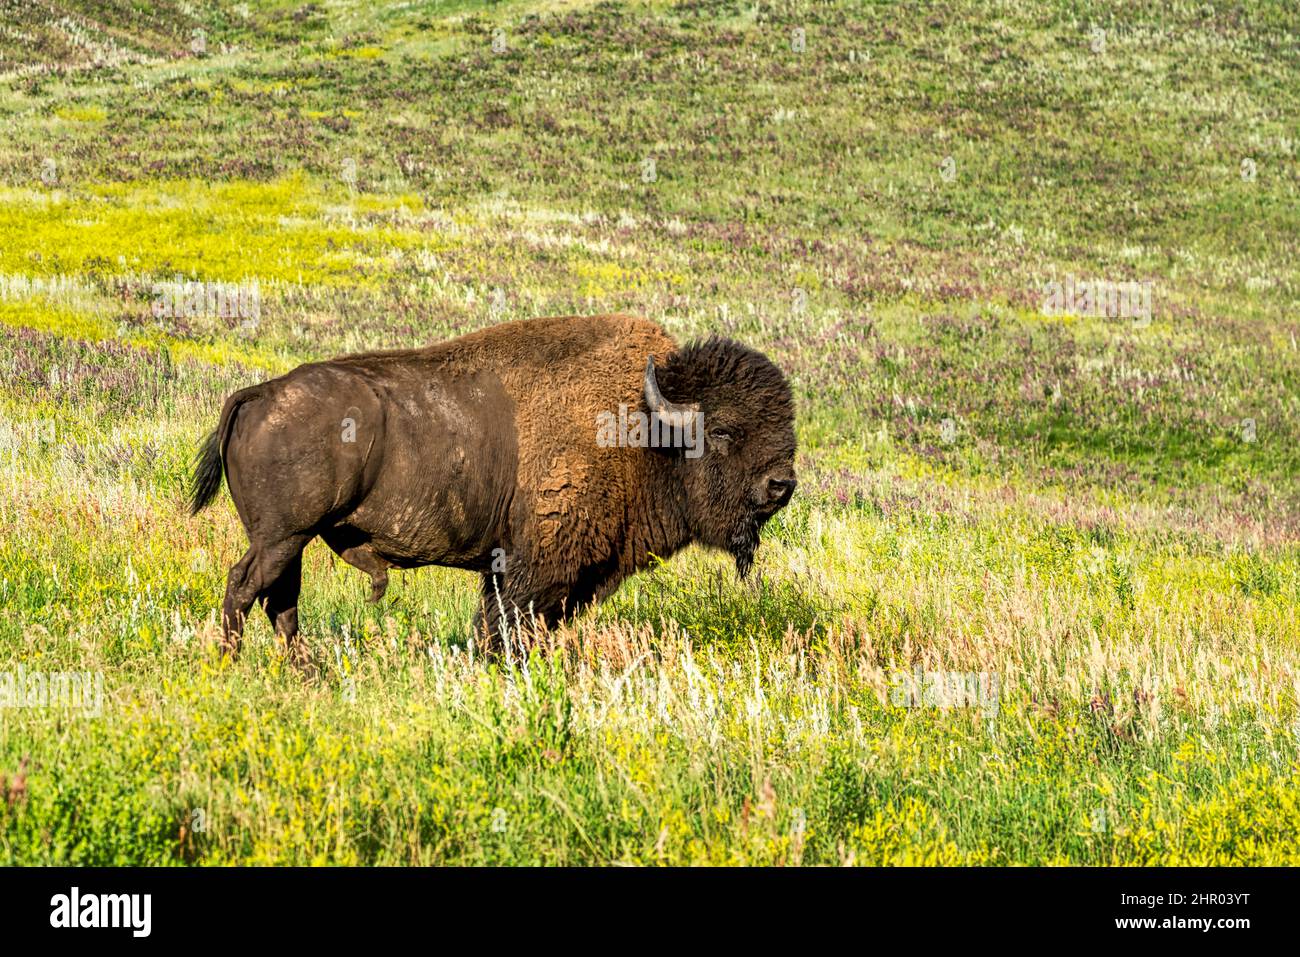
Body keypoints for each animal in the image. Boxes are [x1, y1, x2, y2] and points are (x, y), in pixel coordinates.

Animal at [190, 314, 796, 660]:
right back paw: (230, 665)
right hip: (280, 537)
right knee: (245, 586)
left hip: (292, 541)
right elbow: (505, 626)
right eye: (722, 429)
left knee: (281, 600)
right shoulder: (536, 567)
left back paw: (303, 672)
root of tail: (258, 393)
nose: (781, 485)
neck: (642, 429)